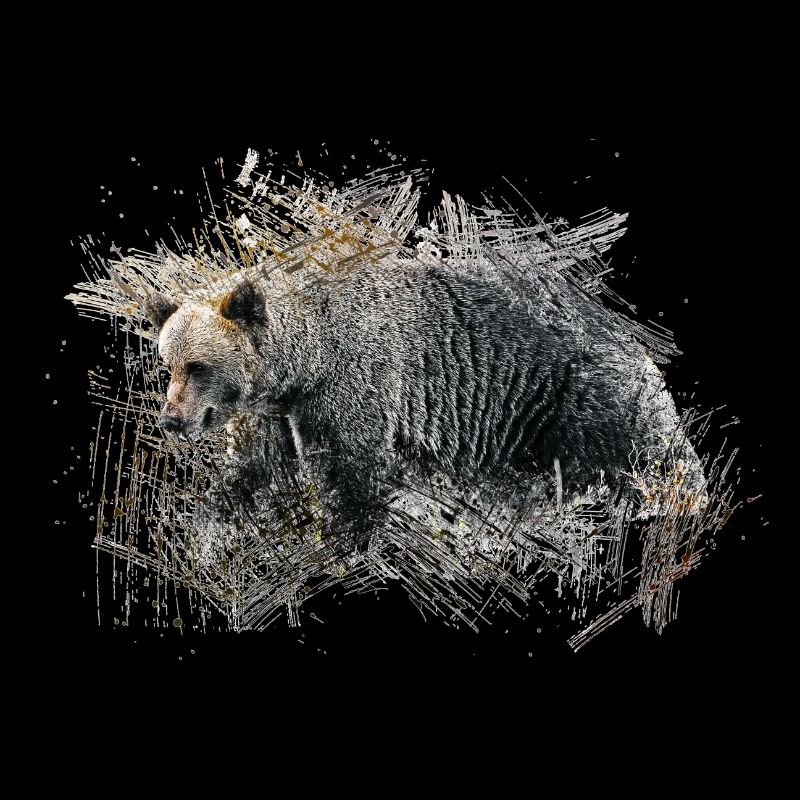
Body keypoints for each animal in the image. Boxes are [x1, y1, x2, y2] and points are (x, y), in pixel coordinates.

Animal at [123, 254, 707, 556]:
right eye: (168, 362)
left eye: (199, 366)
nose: (171, 419)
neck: (308, 360)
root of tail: (642, 356)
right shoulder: (283, 412)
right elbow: (257, 468)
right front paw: (207, 525)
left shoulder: (356, 384)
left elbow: (353, 475)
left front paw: (346, 542)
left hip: (572, 402)